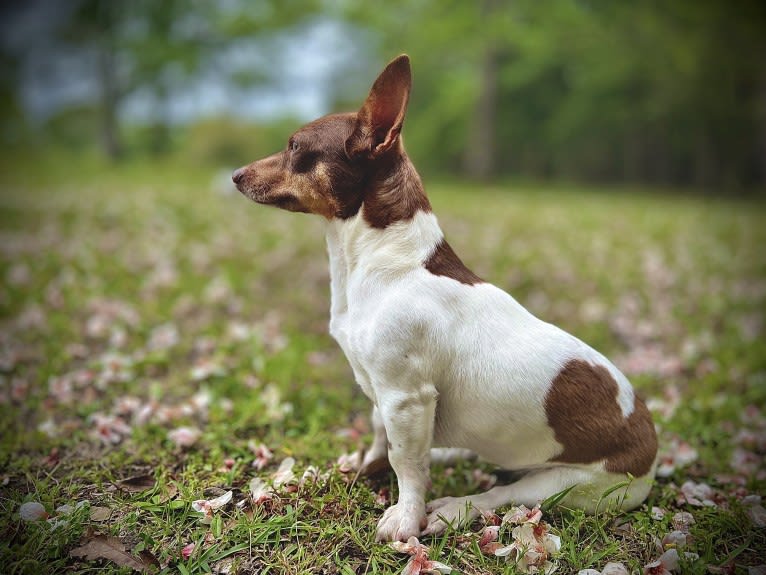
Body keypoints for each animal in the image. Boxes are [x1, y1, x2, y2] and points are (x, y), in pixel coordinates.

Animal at [234, 55, 660, 544]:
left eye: (294, 146)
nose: (235, 175)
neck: (385, 263)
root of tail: (651, 443)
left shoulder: (405, 395)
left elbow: (405, 461)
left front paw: (406, 515)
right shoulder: (386, 396)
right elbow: (383, 440)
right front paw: (365, 468)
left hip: (565, 484)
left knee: (501, 494)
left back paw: (451, 510)